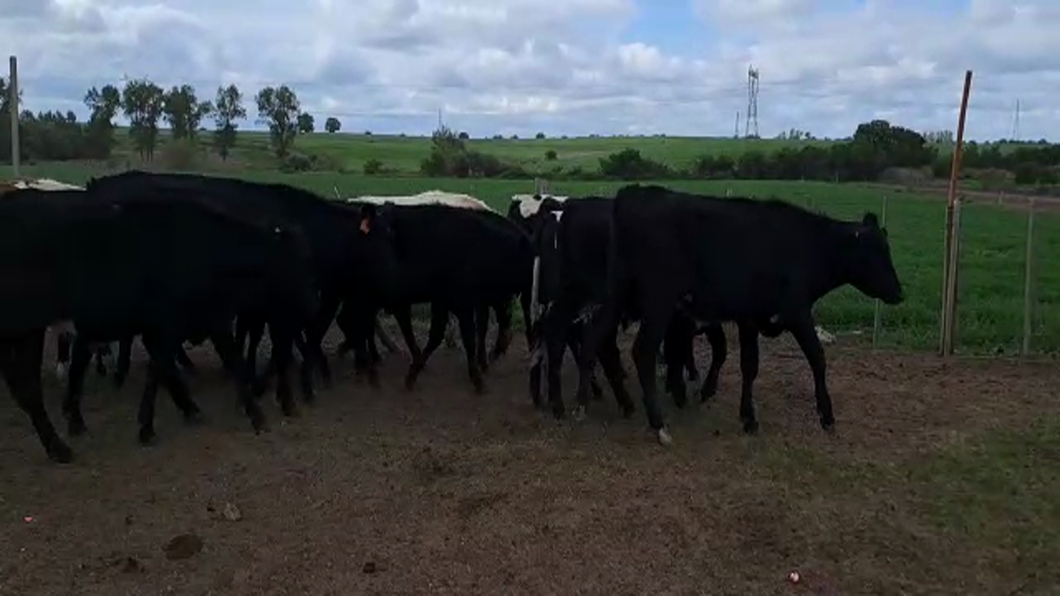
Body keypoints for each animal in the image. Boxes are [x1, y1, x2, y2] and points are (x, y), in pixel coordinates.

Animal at [0, 186, 320, 462]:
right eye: (297, 261)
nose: (313, 303)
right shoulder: (183, 323)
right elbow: (186, 368)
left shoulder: (193, 322)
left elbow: (170, 368)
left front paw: (187, 409)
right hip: (27, 329)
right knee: (30, 387)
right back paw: (59, 446)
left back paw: (69, 429)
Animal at [580, 184, 903, 445]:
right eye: (877, 251)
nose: (899, 292)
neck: (804, 246)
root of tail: (634, 193)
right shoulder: (797, 313)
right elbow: (816, 358)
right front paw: (826, 415)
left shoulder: (750, 318)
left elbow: (750, 365)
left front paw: (747, 416)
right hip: (658, 302)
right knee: (643, 350)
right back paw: (658, 425)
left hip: (617, 294)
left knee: (595, 338)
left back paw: (586, 404)